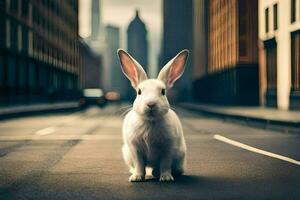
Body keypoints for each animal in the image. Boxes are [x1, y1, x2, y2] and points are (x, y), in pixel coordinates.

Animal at [117, 48, 188, 183]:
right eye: (139, 92)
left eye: (163, 92)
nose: (151, 104)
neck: (150, 121)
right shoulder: (135, 149)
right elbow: (139, 164)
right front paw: (137, 177)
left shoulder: (168, 148)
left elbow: (165, 164)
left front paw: (165, 178)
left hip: (180, 155)